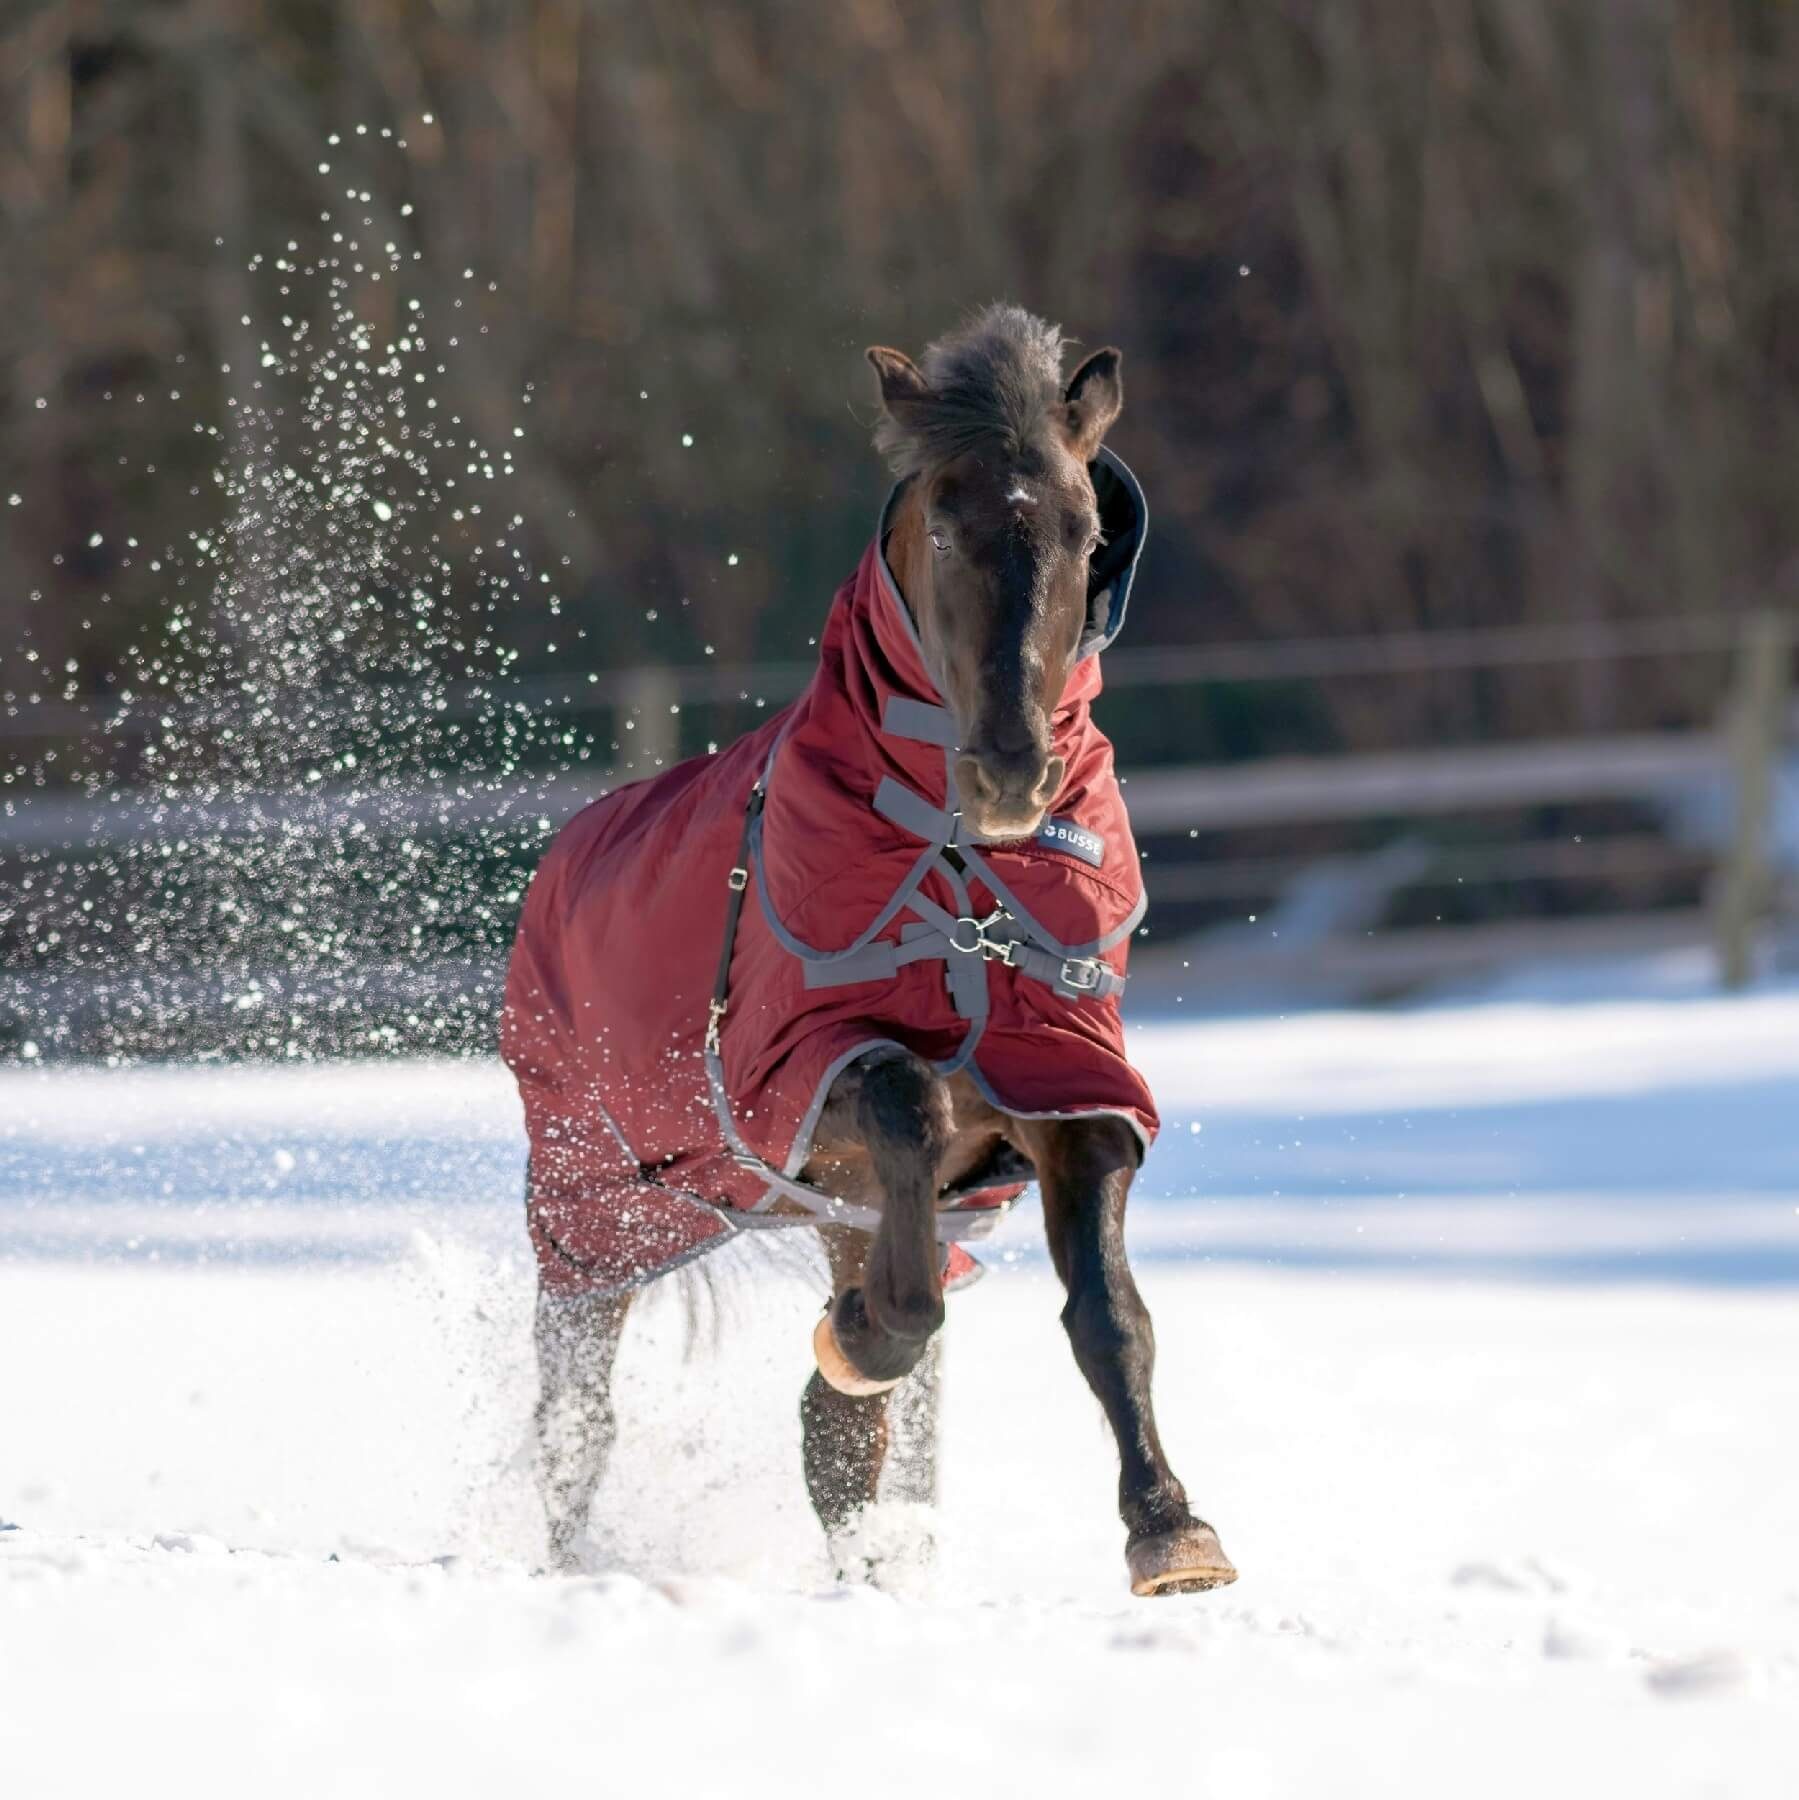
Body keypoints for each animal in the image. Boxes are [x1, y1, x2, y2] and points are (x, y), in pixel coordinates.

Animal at [504, 304, 1236, 1597]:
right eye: (941, 522)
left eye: (1084, 530)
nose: (1011, 773)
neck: (957, 873)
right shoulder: (789, 1081)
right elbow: (907, 1103)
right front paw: (859, 1339)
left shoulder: (1067, 1085)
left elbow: (1108, 1316)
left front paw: (1169, 1530)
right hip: (592, 1219)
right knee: (575, 1424)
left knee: (837, 1440)